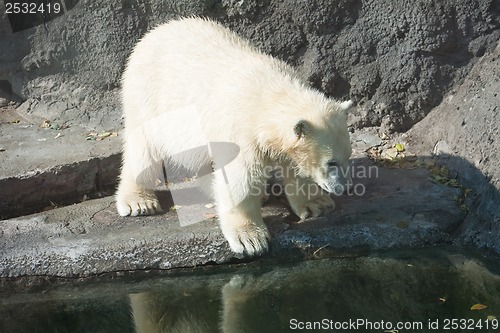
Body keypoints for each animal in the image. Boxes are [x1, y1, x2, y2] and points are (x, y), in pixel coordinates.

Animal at [116, 17, 352, 256]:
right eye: (331, 162)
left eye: (347, 157)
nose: (342, 188)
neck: (269, 95)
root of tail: (154, 33)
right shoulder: (241, 131)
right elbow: (240, 178)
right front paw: (250, 239)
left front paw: (317, 204)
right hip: (148, 97)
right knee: (144, 147)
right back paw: (139, 202)